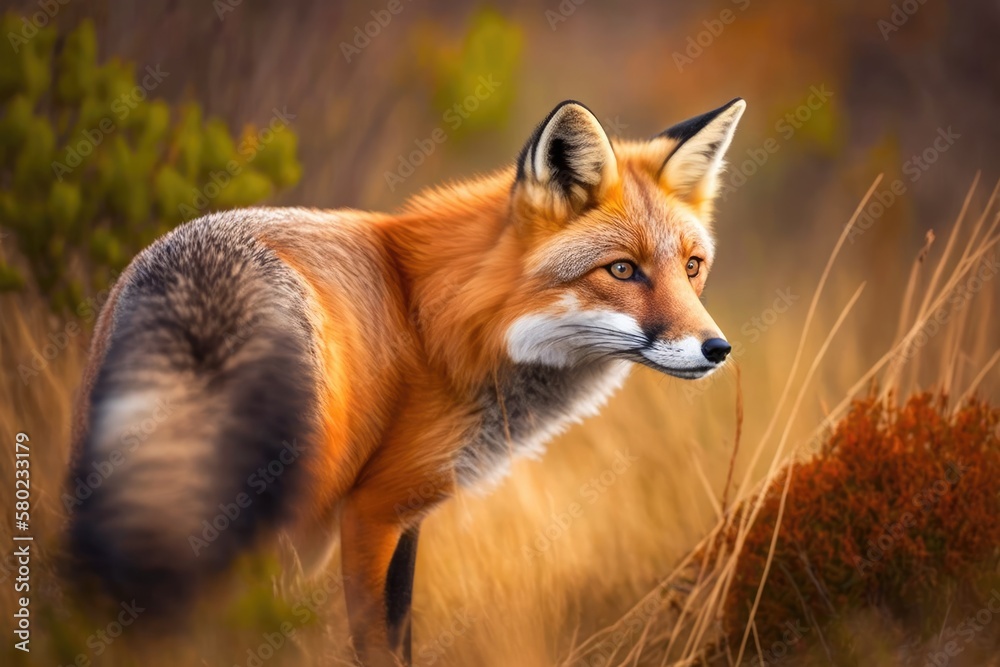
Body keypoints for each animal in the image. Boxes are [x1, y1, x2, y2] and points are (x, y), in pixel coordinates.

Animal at [68, 97, 745, 665]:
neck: (434, 315)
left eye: (692, 268)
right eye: (623, 270)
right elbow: (384, 642)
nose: (717, 349)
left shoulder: (403, 515)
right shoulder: (375, 509)